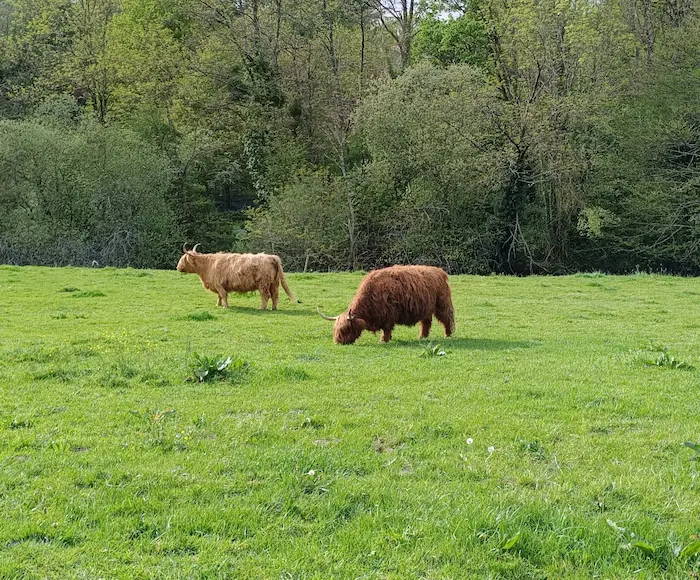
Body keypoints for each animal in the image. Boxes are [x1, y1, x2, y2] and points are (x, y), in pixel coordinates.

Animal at [318, 265, 455, 344]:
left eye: (345, 329)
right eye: (335, 329)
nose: (338, 342)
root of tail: (440, 271)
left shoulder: (388, 315)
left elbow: (387, 329)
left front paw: (384, 340)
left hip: (442, 304)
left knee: (447, 319)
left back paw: (448, 335)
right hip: (425, 307)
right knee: (426, 322)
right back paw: (422, 337)